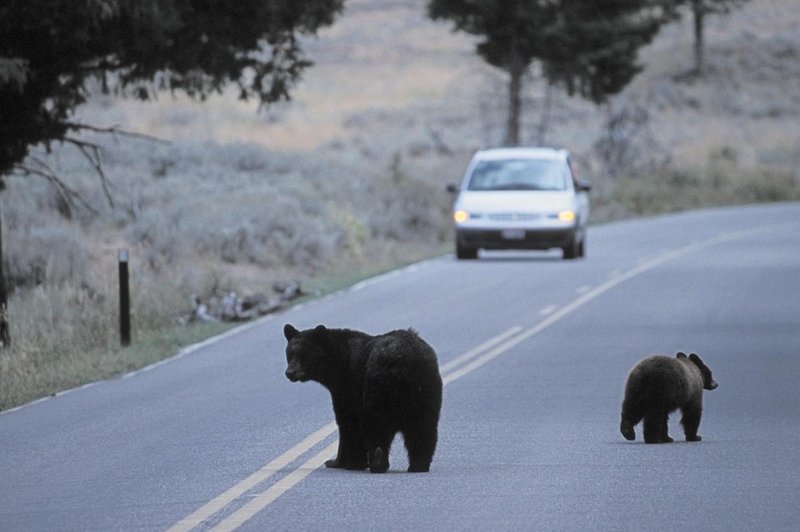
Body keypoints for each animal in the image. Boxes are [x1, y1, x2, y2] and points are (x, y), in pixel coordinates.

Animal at [282, 324, 444, 474]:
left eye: (303, 355)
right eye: (290, 354)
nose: (290, 372)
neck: (336, 364)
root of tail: (403, 362)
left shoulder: (347, 386)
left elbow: (348, 423)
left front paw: (341, 462)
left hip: (376, 388)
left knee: (375, 425)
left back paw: (378, 462)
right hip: (425, 391)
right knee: (423, 428)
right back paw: (418, 465)